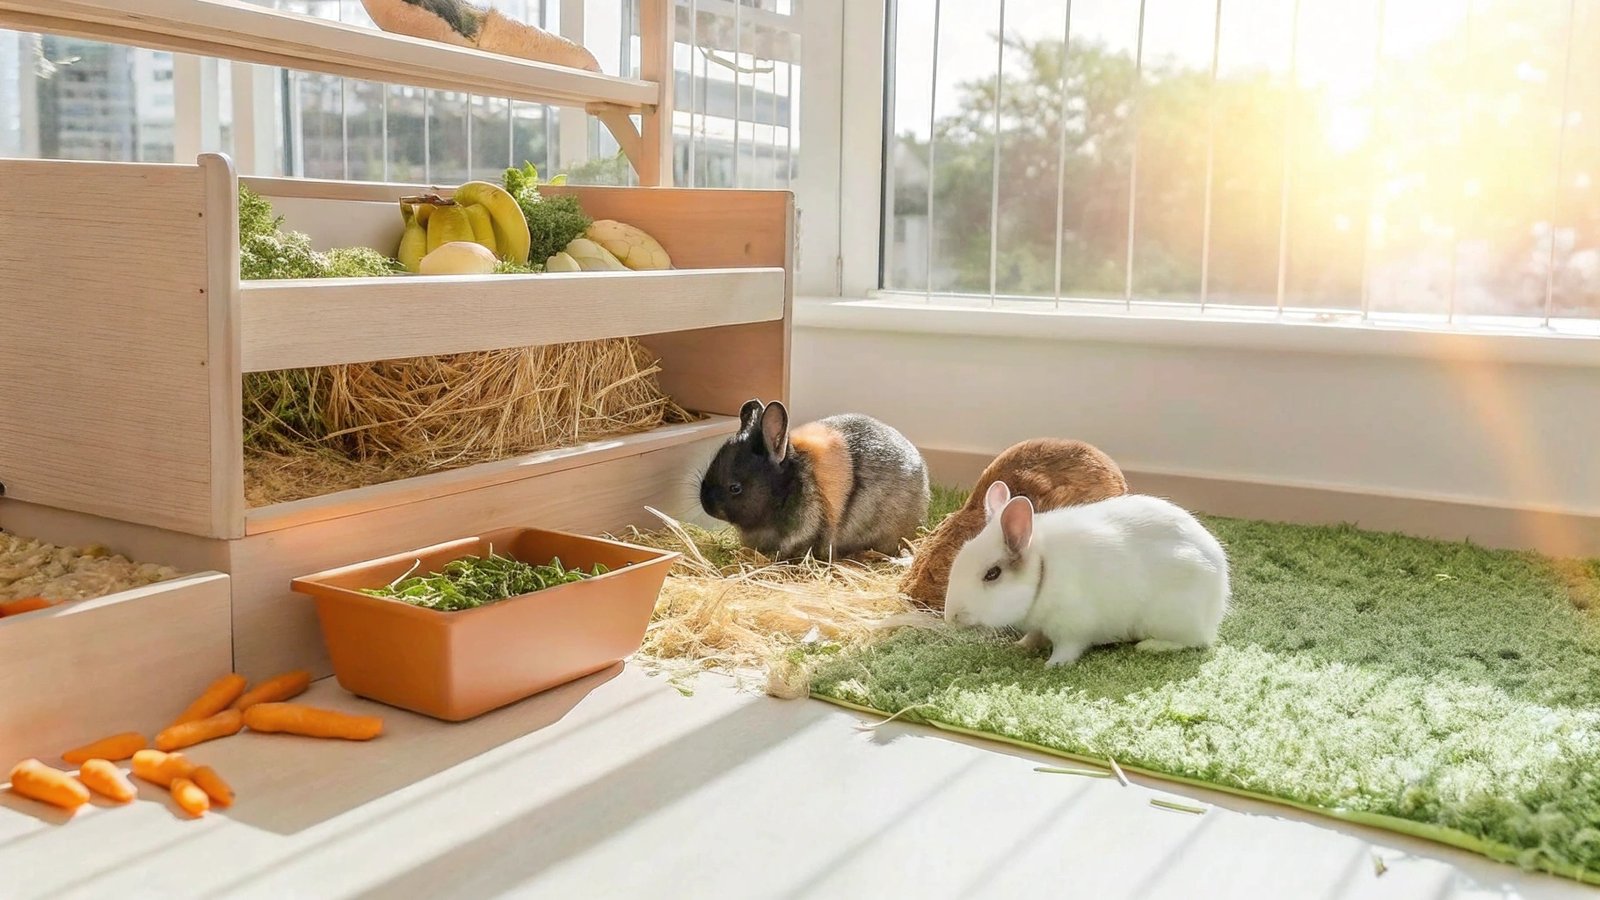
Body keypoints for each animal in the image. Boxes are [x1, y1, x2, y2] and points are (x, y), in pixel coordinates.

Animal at [940, 480, 1228, 662]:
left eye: (992, 574)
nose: (951, 617)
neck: (1044, 570)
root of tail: (1221, 593)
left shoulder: (1073, 630)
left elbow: (1067, 650)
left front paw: (1051, 665)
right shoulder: (1040, 627)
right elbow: (1034, 636)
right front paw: (1020, 647)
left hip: (1171, 619)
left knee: (1196, 642)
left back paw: (1149, 646)